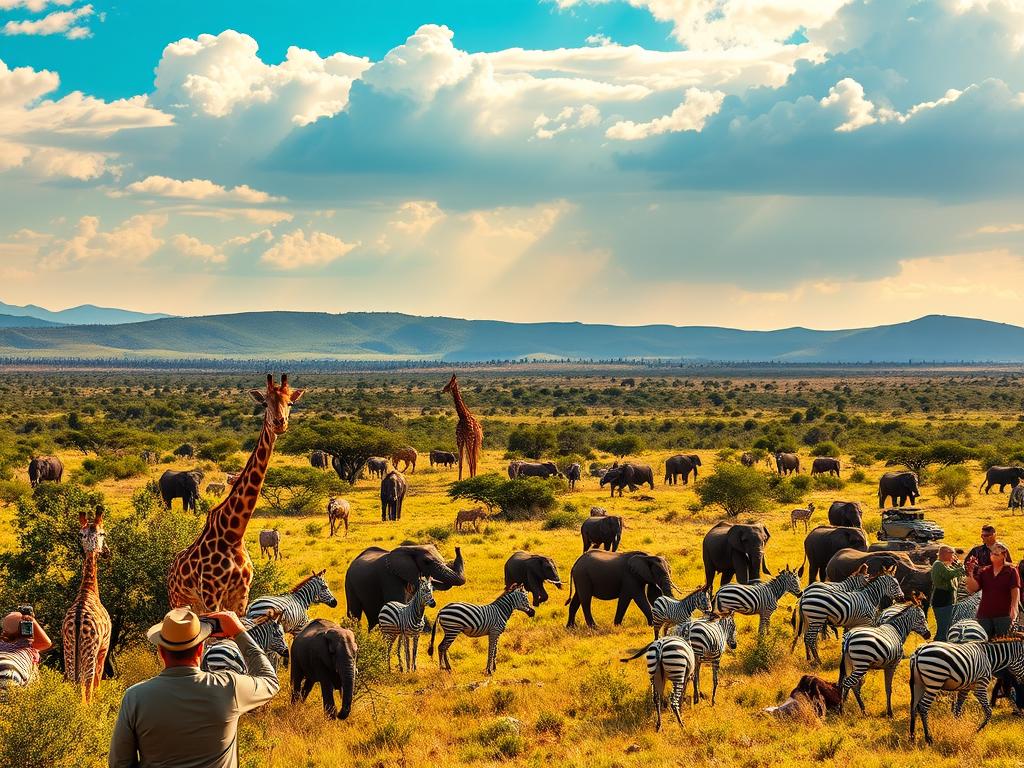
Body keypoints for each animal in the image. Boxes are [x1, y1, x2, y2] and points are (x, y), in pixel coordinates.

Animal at [62, 507, 111, 703]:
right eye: (104, 533)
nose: (107, 553)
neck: (88, 590)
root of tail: (77, 620)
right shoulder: (104, 647)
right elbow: (98, 681)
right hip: (90, 651)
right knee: (88, 685)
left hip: (68, 649)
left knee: (74, 683)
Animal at [167, 374, 304, 614]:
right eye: (264, 403)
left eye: (290, 403)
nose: (280, 423)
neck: (233, 534)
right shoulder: (212, 595)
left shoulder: (242, 595)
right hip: (180, 601)